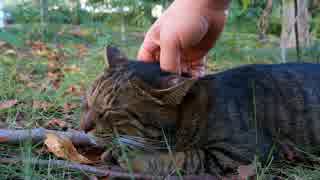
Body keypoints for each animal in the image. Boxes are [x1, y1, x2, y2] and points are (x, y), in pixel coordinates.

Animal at [80, 46, 320, 177]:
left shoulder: (242, 152)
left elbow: (186, 157)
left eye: (112, 111)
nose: (83, 128)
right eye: (89, 102)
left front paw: (135, 157)